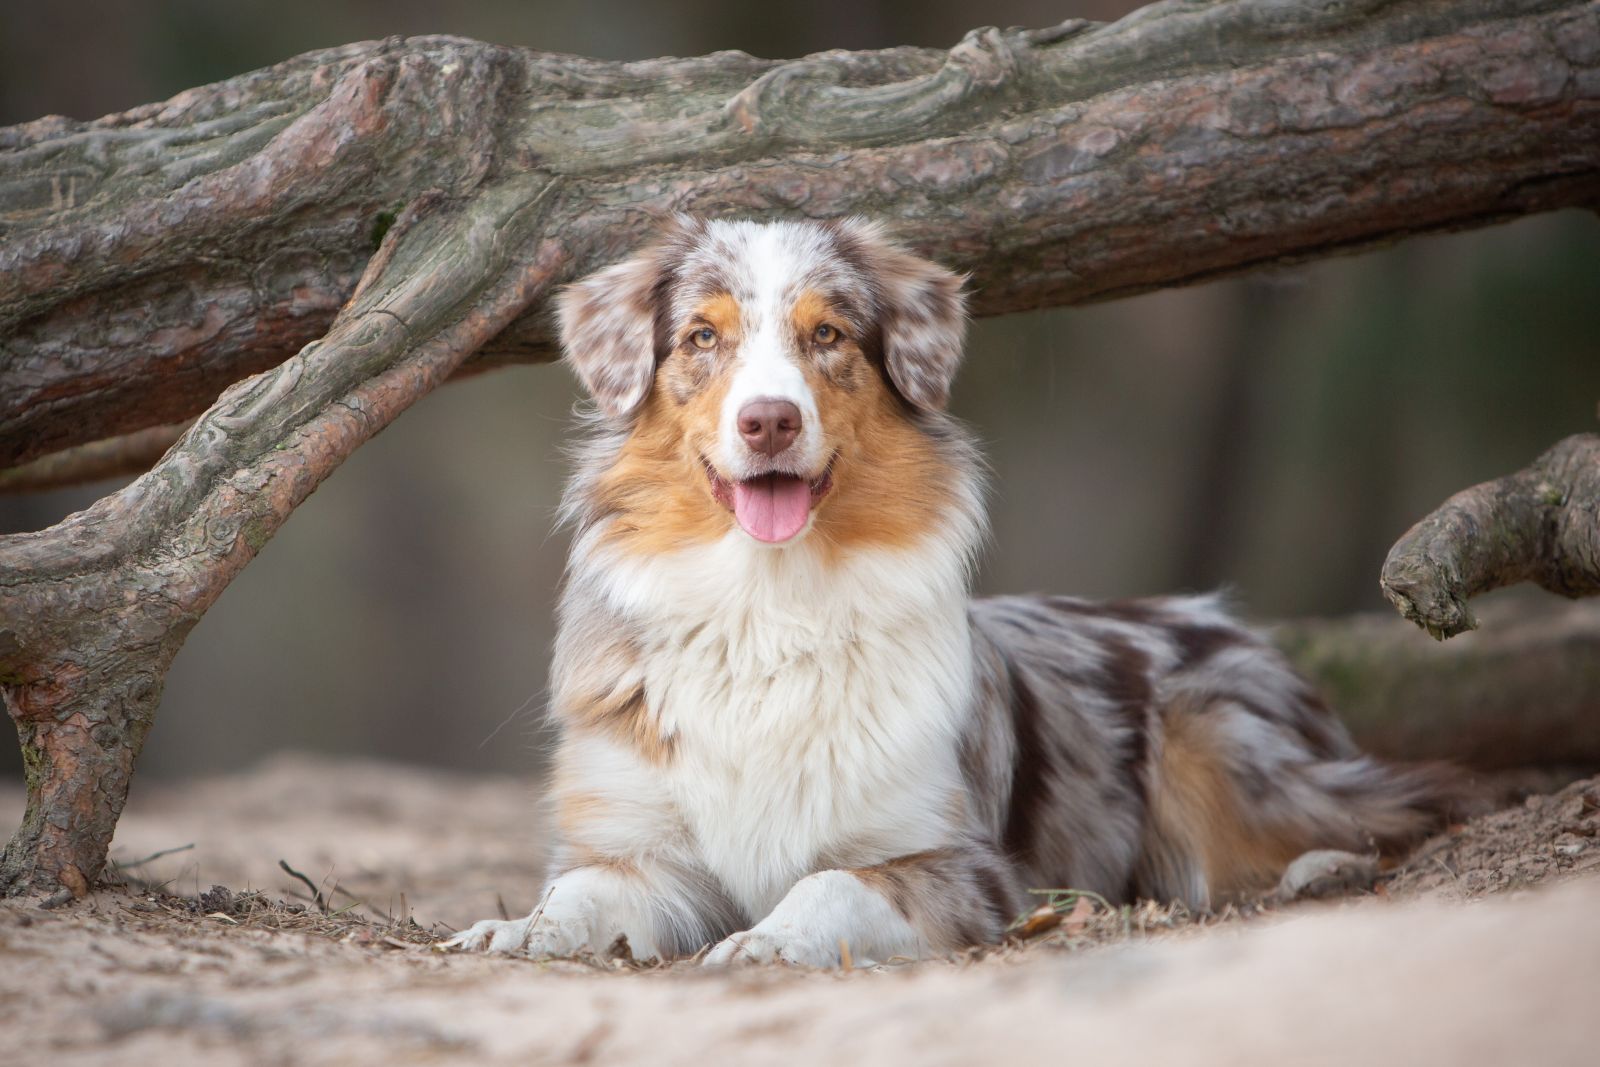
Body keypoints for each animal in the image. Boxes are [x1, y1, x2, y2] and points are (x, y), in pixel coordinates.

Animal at [444, 217, 1459, 966]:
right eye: (703, 336)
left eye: (827, 334)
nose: (769, 420)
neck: (769, 606)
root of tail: (1221, 620)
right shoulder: (643, 844)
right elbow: (581, 889)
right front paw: (520, 926)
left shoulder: (956, 862)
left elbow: (831, 882)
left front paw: (768, 938)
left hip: (1211, 736)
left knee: (1380, 810)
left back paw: (1320, 866)